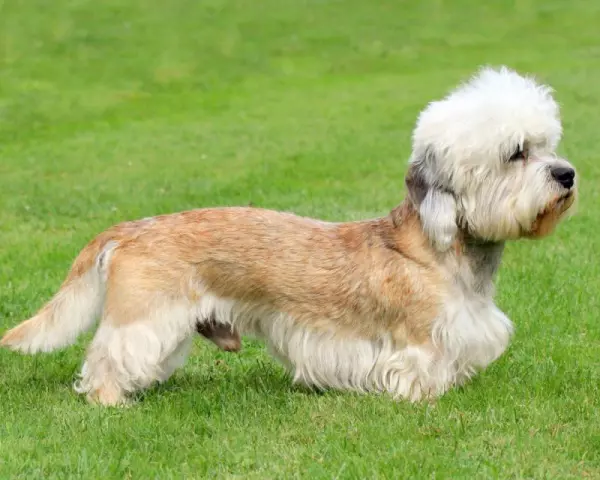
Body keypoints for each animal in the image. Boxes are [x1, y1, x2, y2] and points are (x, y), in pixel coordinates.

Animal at [0, 66, 576, 404]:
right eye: (517, 153)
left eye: (548, 145)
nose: (568, 175)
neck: (444, 251)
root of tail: (129, 229)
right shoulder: (417, 342)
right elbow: (419, 371)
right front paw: (424, 397)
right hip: (142, 319)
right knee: (107, 358)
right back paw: (110, 400)